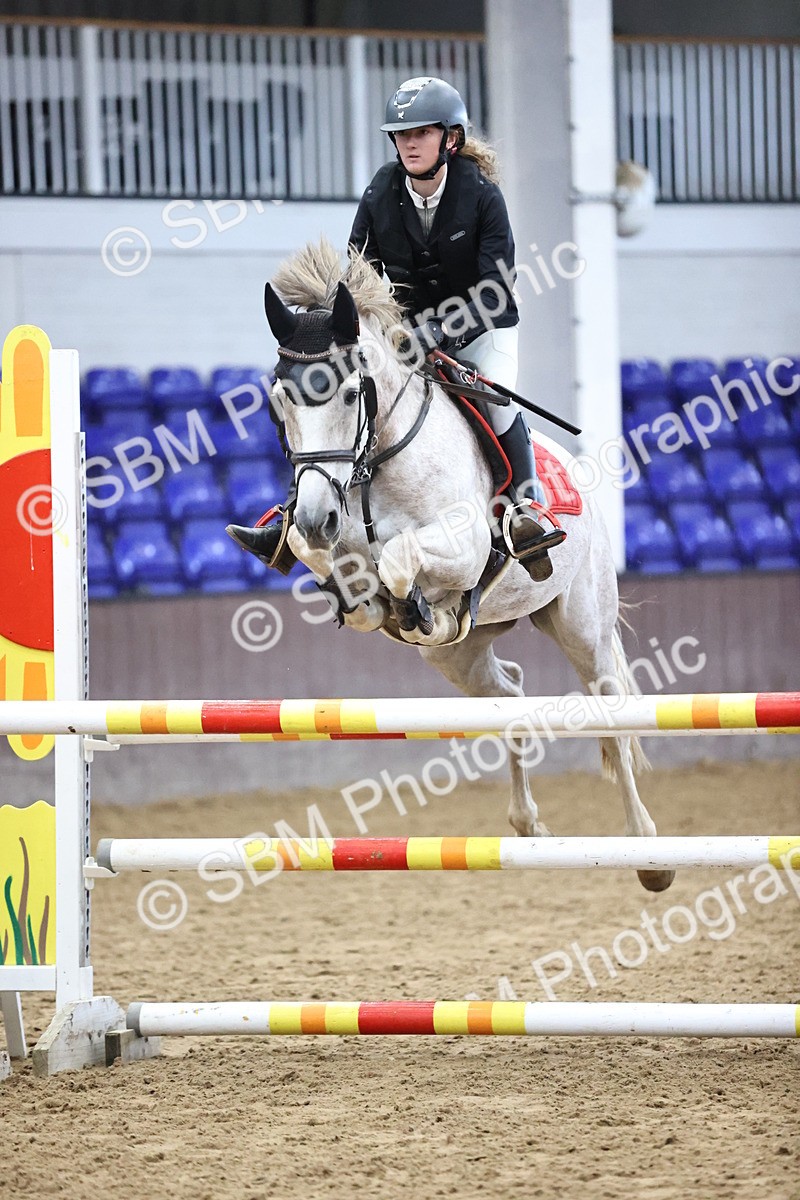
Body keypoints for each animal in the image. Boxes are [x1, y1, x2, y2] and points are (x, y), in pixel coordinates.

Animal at [255, 238, 673, 893]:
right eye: (280, 401)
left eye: (349, 394)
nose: (320, 513)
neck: (377, 460)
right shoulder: (321, 534)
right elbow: (321, 556)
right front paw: (371, 604)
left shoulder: (465, 544)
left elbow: (399, 556)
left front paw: (411, 606)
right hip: (461, 659)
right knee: (511, 692)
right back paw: (528, 824)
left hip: (582, 626)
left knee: (610, 712)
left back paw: (649, 853)